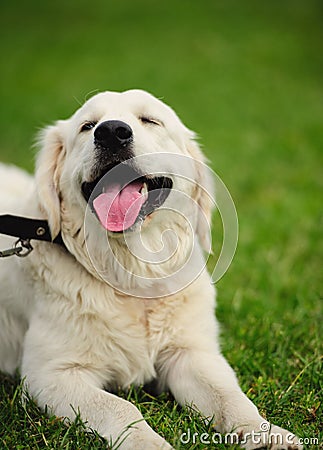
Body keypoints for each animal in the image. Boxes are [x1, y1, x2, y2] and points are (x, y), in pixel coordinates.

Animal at [0, 89, 304, 448]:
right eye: (87, 126)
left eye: (150, 120)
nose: (111, 132)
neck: (133, 271)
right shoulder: (51, 374)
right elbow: (122, 408)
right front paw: (149, 442)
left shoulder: (191, 354)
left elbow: (230, 397)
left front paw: (266, 432)